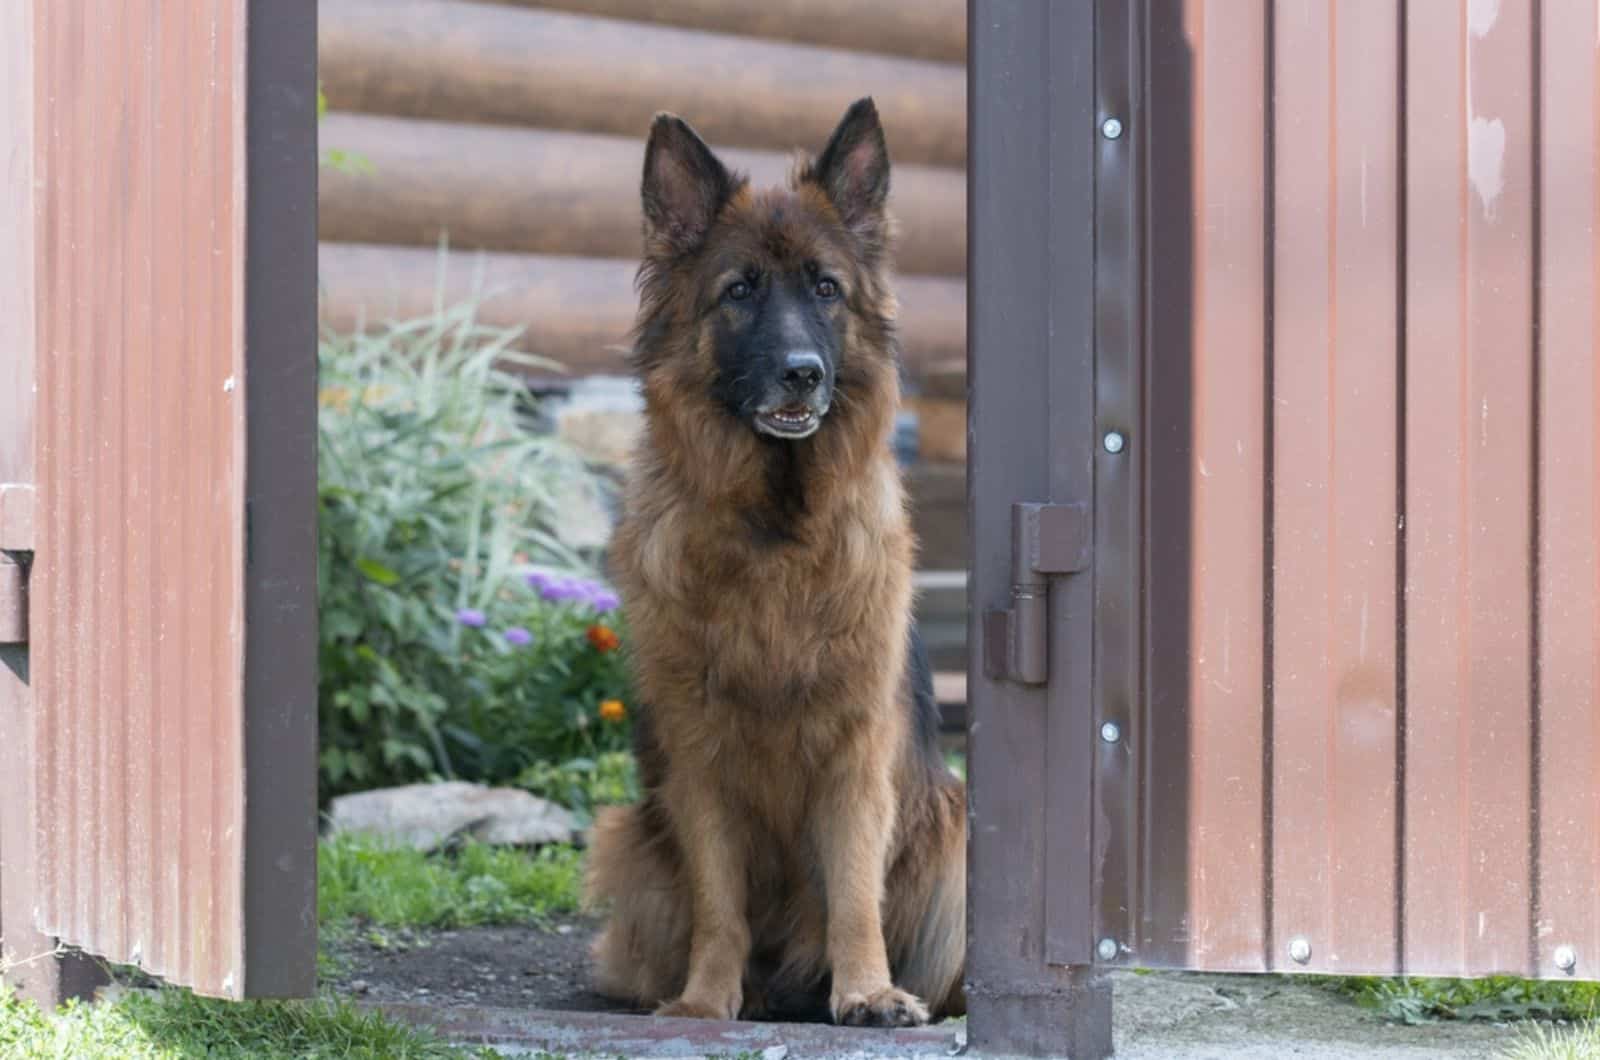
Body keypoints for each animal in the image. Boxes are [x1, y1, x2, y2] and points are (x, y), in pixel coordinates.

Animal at [585, 101, 966, 1031]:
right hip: (631, 837)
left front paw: (866, 991)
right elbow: (719, 900)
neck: (773, 534)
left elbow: (855, 888)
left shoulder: (859, 749)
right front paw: (704, 1000)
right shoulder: (698, 756)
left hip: (955, 831)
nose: (804, 373)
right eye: (740, 290)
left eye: (826, 289)